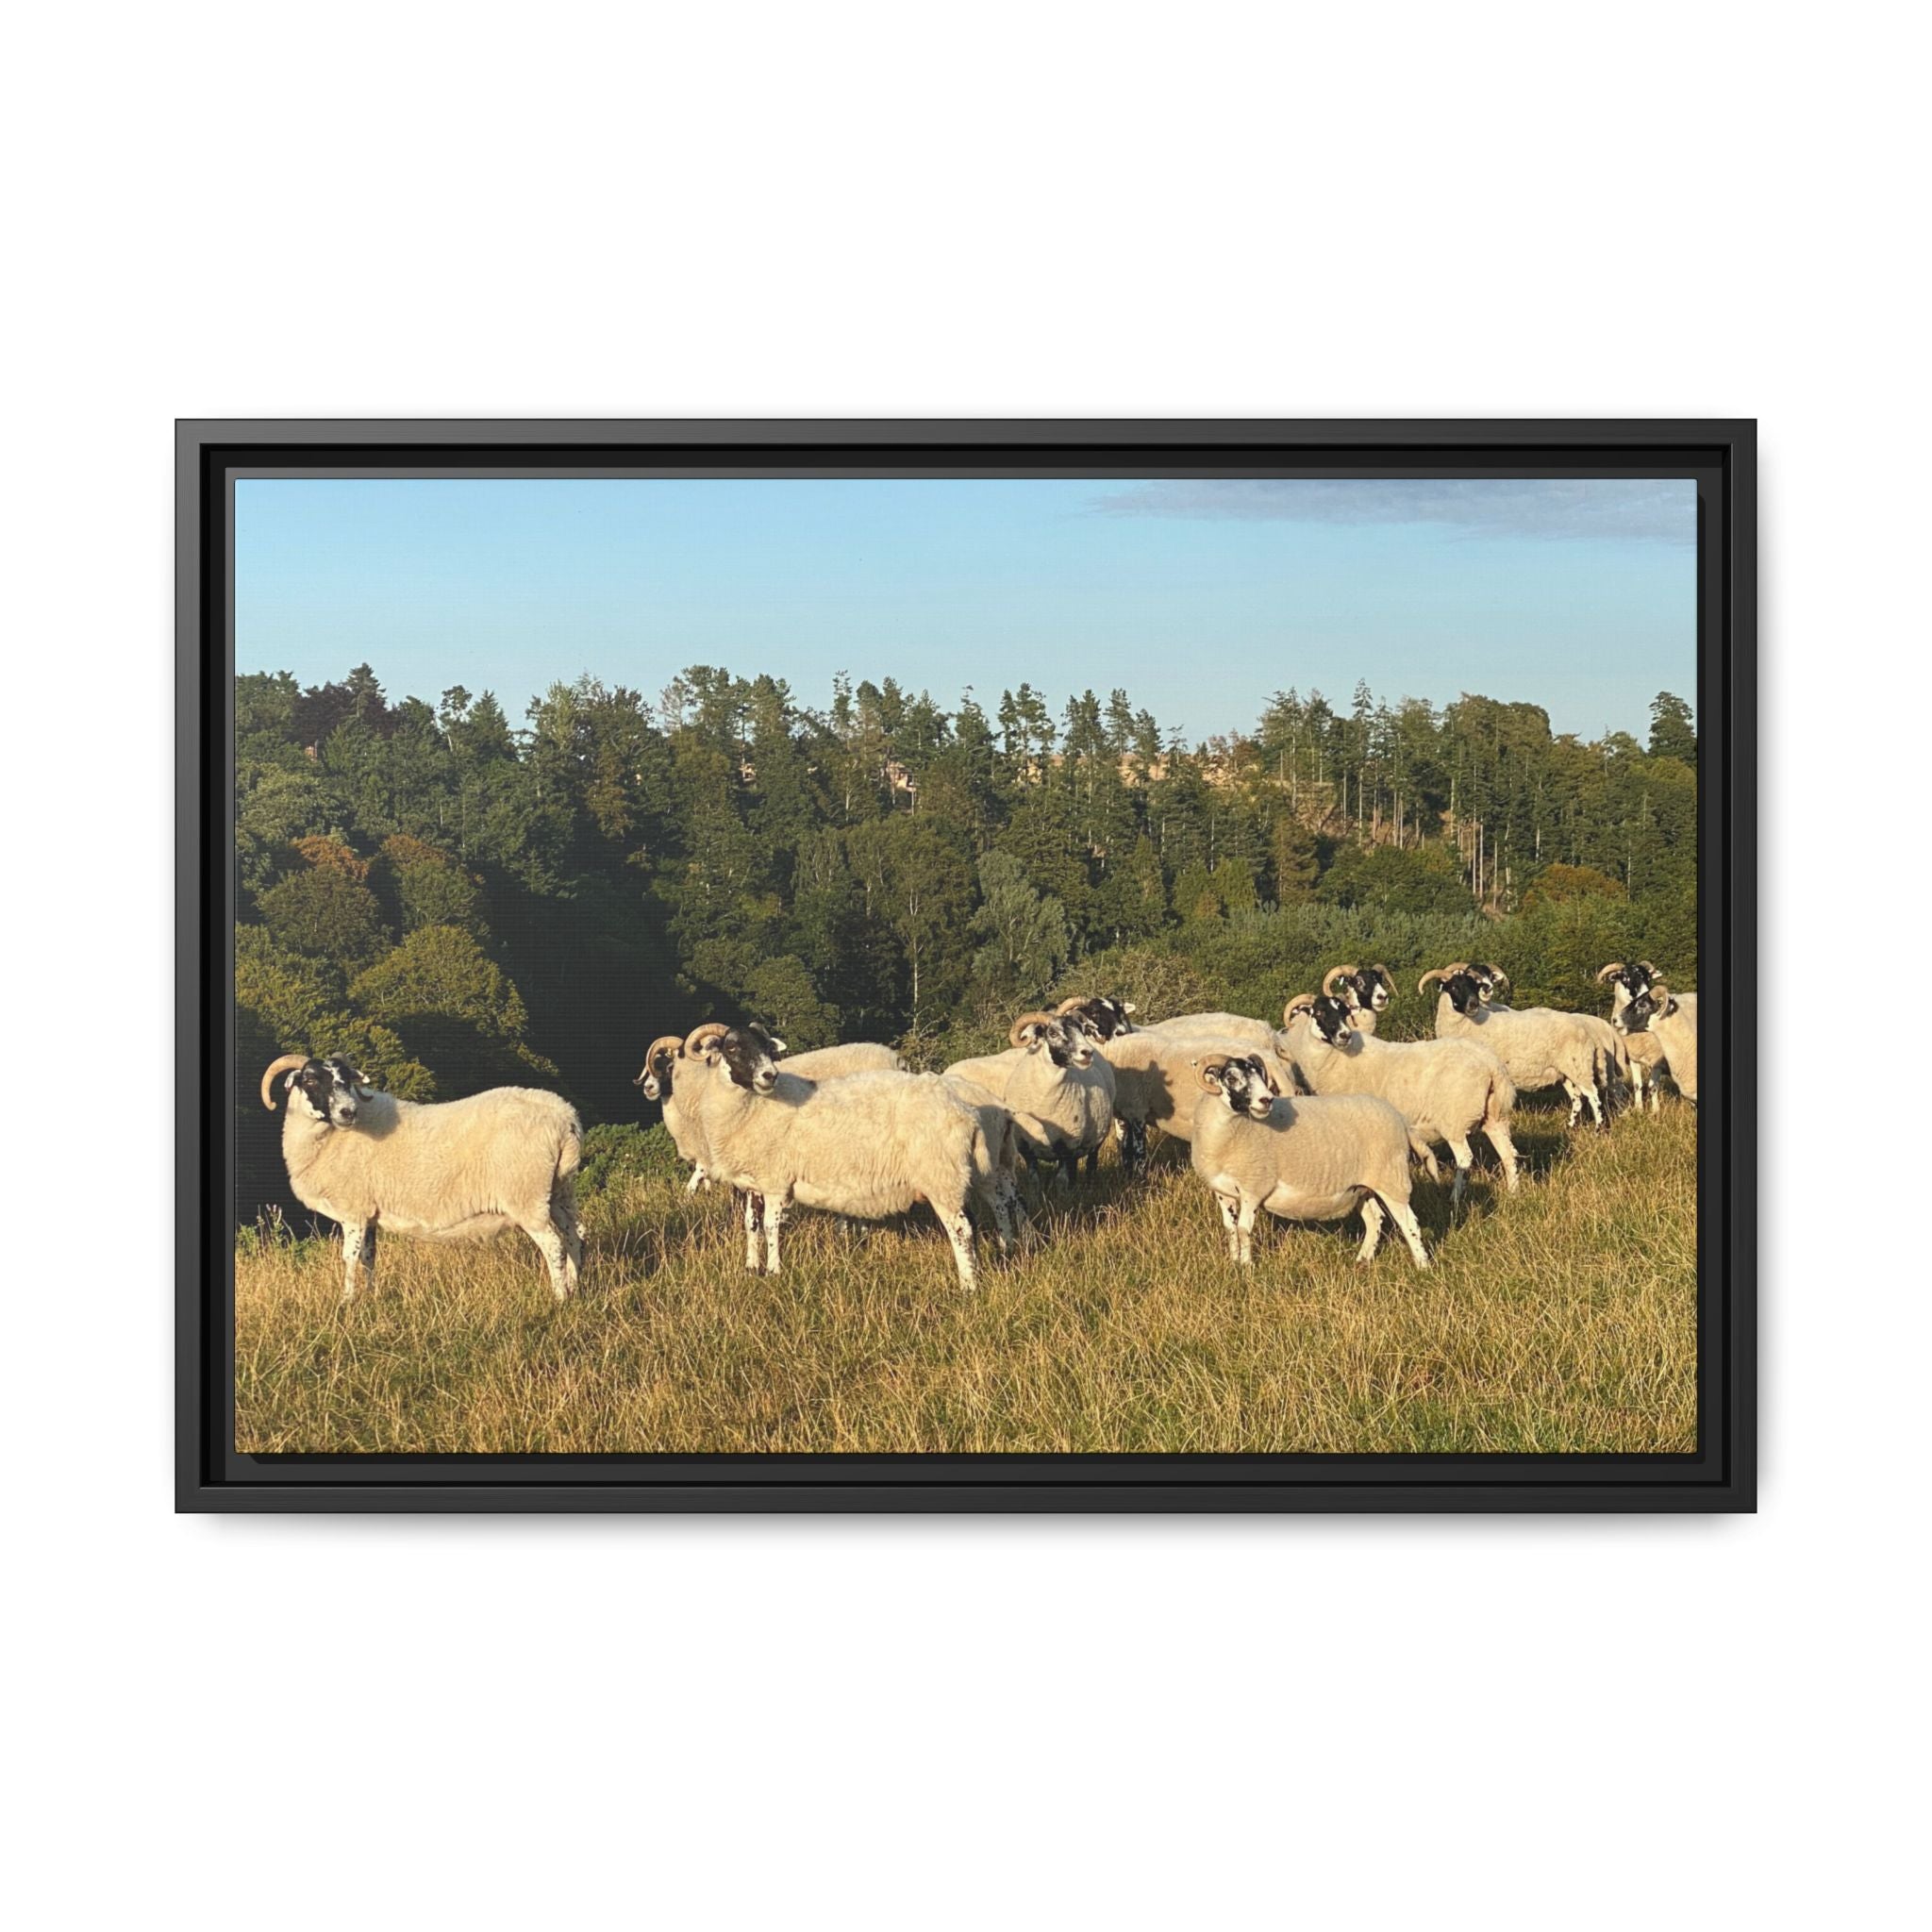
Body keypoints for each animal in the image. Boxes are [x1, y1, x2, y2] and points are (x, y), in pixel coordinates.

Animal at [259, 1053, 583, 1302]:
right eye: (311, 1080)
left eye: (346, 1080)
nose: (348, 1111)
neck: (329, 1139)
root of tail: (565, 1117)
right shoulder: (369, 1213)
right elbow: (369, 1257)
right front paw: (371, 1298)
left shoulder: (353, 1210)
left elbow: (349, 1258)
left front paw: (347, 1302)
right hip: (559, 1190)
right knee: (576, 1236)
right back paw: (576, 1288)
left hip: (526, 1195)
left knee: (554, 1245)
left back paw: (559, 1299)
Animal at [685, 1025, 990, 1286]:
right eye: (732, 1047)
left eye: (768, 1048)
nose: (770, 1075)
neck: (754, 1107)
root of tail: (966, 1113)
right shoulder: (753, 1182)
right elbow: (751, 1224)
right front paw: (750, 1267)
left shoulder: (775, 1181)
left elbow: (771, 1227)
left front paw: (773, 1271)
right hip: (952, 1179)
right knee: (971, 1224)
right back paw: (975, 1274)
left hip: (941, 1177)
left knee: (961, 1229)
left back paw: (968, 1285)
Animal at [1189, 1050, 1429, 1269]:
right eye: (1231, 1077)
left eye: (1259, 1074)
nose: (1267, 1100)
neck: (1235, 1130)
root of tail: (1400, 1120)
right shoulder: (1223, 1192)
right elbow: (1230, 1228)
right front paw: (1234, 1263)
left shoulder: (1253, 1187)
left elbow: (1243, 1229)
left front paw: (1247, 1268)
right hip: (1362, 1186)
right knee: (1375, 1219)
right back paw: (1362, 1261)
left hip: (1392, 1179)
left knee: (1410, 1224)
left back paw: (1422, 1266)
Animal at [1278, 993, 1519, 1208]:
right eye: (1319, 1012)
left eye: (1344, 1012)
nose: (1345, 1035)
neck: (1337, 1058)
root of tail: (1491, 1064)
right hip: (1495, 1115)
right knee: (1509, 1154)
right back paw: (1512, 1192)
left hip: (1455, 1119)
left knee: (1464, 1159)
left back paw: (1455, 1199)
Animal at [1418, 962, 1610, 1128]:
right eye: (1454, 987)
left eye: (1474, 987)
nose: (1473, 1004)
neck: (1469, 1023)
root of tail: (1588, 1030)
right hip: (1566, 1071)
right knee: (1577, 1098)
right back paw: (1571, 1126)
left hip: (1580, 1066)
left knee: (1593, 1095)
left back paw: (1599, 1128)